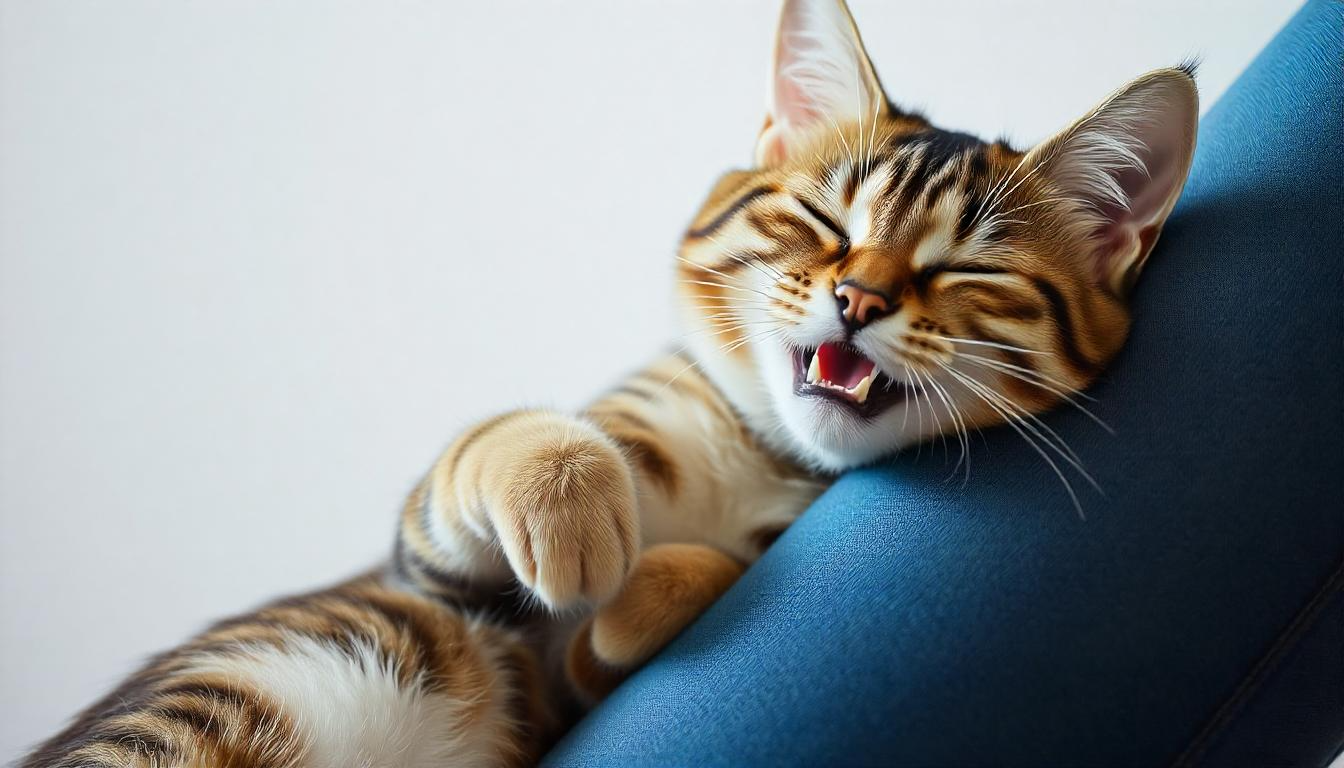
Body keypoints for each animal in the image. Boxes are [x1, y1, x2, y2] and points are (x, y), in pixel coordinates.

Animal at [21, 1, 1198, 768]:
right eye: (822, 222)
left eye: (966, 271)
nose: (859, 299)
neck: (755, 457)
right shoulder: (436, 569)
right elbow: (515, 443)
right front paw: (575, 512)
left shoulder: (564, 689)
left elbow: (680, 586)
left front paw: (637, 597)